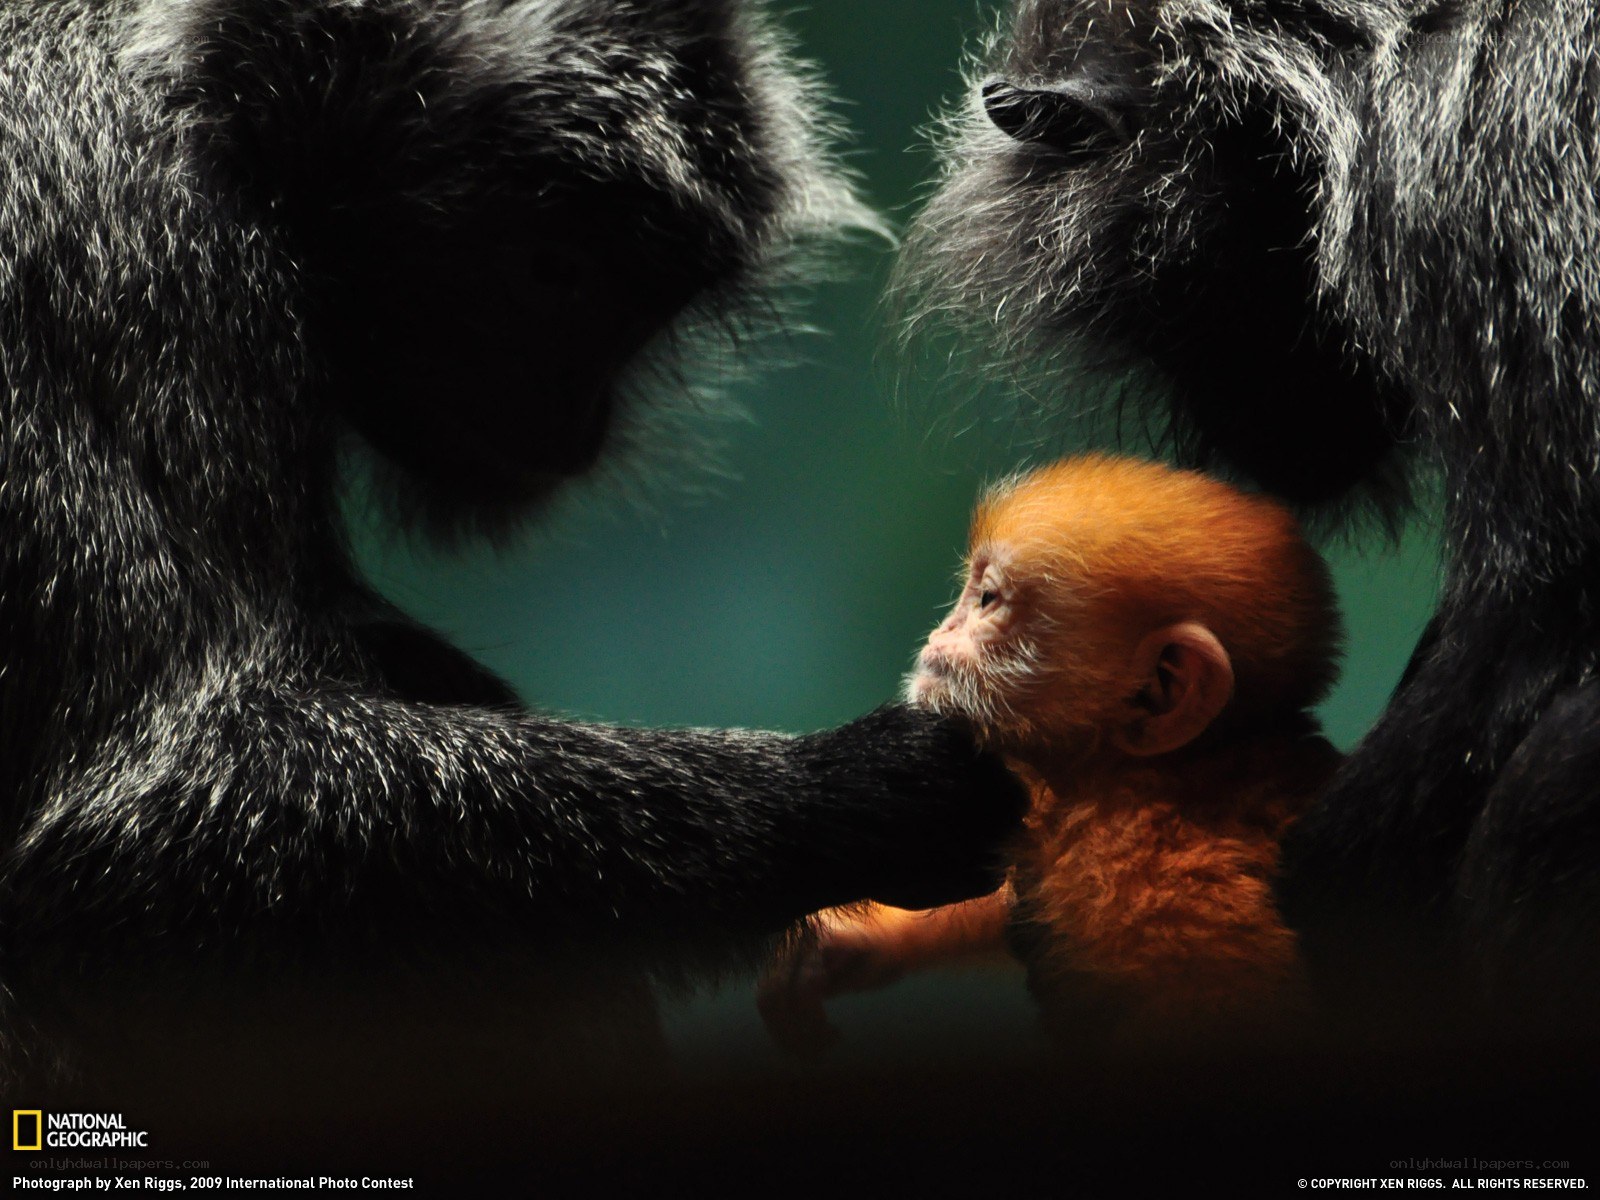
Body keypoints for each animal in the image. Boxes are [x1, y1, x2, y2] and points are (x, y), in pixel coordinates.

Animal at [0, 0, 1025, 1142]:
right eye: (557, 272)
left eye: (645, 301)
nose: (579, 422)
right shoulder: (126, 230)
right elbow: (139, 827)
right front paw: (847, 791)